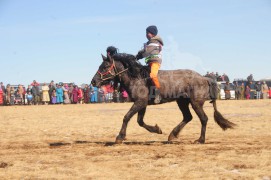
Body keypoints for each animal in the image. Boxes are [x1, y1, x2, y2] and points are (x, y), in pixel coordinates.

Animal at [91, 52, 236, 144]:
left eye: (104, 66)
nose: (93, 82)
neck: (136, 77)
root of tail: (205, 78)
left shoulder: (140, 102)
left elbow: (127, 117)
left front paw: (120, 137)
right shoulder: (142, 104)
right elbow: (140, 121)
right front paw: (157, 129)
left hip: (196, 103)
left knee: (203, 119)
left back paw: (200, 139)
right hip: (182, 102)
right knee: (188, 117)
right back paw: (173, 135)